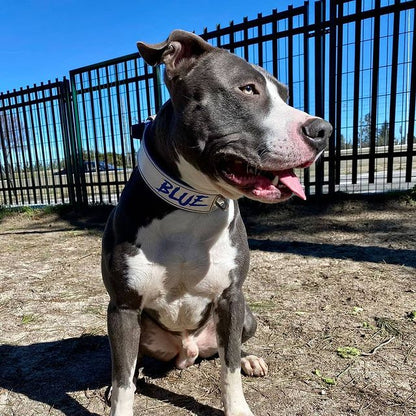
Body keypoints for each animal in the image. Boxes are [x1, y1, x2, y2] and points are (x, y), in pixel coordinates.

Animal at [101, 30, 332, 416]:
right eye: (248, 89)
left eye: (285, 95)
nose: (324, 130)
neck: (192, 207)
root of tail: (187, 350)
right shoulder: (123, 306)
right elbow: (123, 380)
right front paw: (119, 394)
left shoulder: (231, 297)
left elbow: (230, 366)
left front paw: (238, 406)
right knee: (131, 365)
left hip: (246, 316)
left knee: (230, 349)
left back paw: (251, 358)